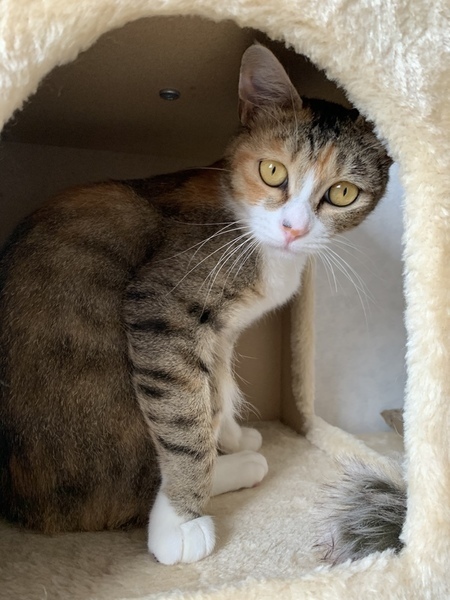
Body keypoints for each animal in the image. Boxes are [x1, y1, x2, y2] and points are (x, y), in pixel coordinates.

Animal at [0, 44, 392, 565]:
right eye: (272, 171)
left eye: (343, 192)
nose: (293, 229)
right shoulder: (163, 306)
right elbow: (186, 414)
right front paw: (182, 518)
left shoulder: (220, 331)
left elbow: (216, 387)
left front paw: (231, 433)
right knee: (127, 490)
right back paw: (241, 468)